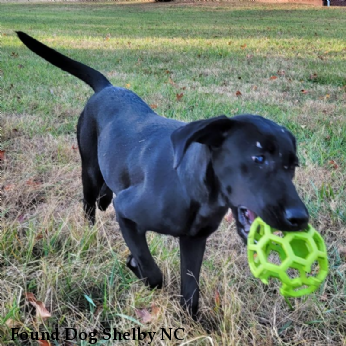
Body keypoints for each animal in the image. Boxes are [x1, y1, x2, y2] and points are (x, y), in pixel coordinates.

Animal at [16, 32, 308, 318]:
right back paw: (90, 229)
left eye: (293, 164)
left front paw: (192, 322)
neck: (194, 190)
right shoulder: (127, 212)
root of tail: (108, 87)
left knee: (106, 190)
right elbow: (152, 272)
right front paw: (137, 267)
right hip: (89, 168)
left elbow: (191, 292)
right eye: (258, 158)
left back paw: (105, 199)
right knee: (88, 204)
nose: (300, 218)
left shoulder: (194, 241)